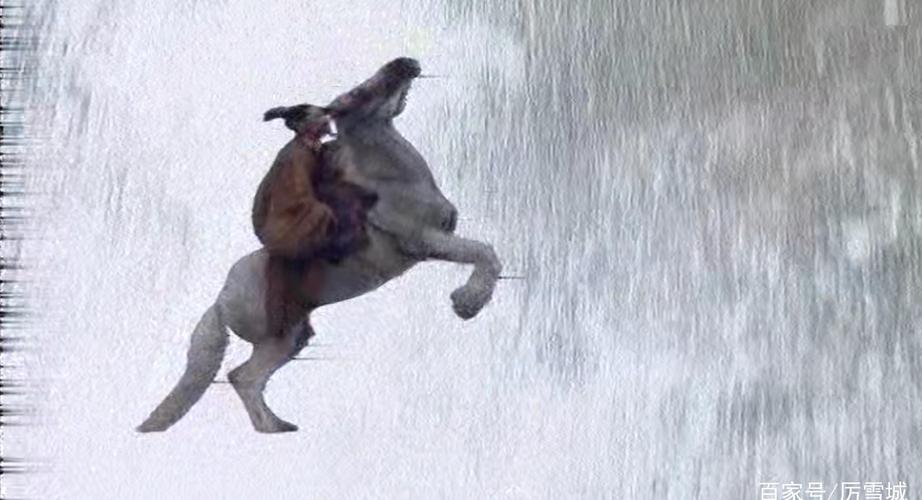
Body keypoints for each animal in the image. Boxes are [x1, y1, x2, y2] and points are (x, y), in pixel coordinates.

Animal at [137, 57, 503, 433]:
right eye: (359, 91)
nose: (405, 63)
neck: (392, 180)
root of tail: (220, 302)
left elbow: (484, 252)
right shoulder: (424, 241)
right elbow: (485, 253)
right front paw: (467, 303)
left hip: (294, 335)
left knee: (246, 377)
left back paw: (278, 424)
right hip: (278, 336)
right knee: (244, 377)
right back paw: (273, 429)